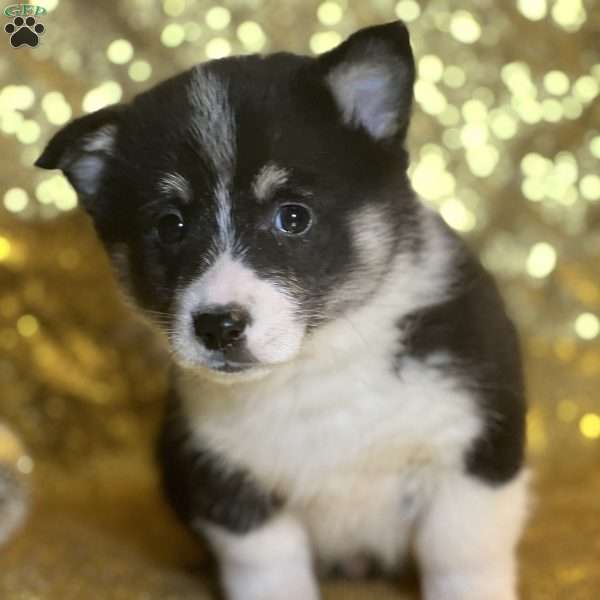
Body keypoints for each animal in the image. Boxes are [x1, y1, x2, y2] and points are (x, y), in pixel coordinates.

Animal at [35, 22, 528, 600]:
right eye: (170, 225)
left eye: (293, 216)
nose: (218, 326)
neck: (316, 366)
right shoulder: (231, 486)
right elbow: (269, 569)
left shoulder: (474, 461)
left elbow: (463, 558)